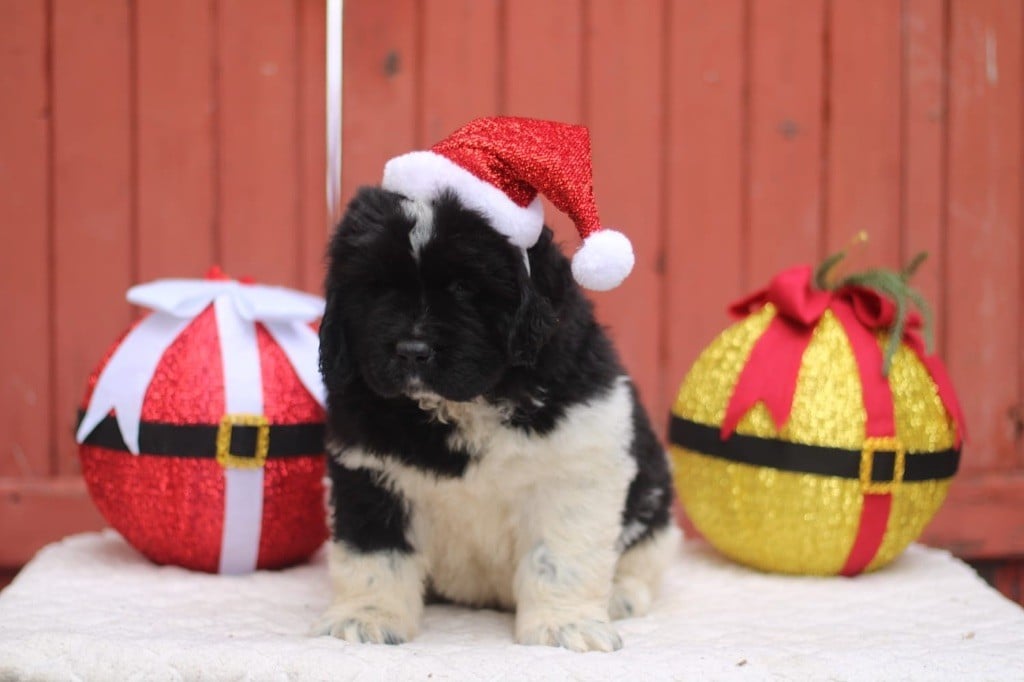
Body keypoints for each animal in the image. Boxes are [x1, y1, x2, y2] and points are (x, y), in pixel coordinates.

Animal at [313, 186, 678, 652]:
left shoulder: (576, 465)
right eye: (377, 287)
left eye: (465, 287)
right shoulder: (370, 472)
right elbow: (375, 553)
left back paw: (622, 595)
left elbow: (558, 555)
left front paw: (564, 625)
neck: (465, 405)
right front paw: (366, 616)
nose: (412, 350)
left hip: (654, 502)